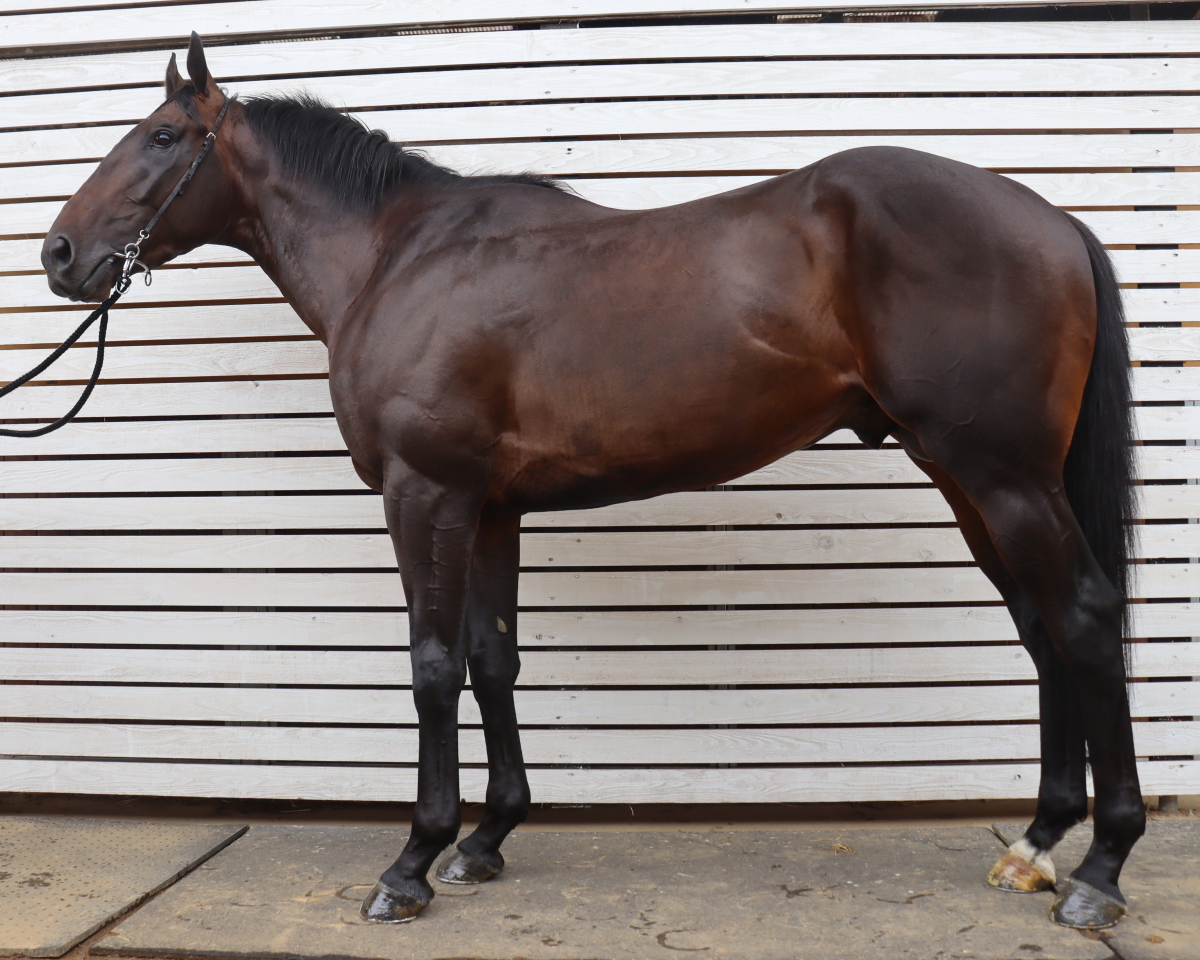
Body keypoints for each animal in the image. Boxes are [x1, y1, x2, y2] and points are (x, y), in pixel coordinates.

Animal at [41, 33, 1141, 931]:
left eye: (162, 135)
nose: (59, 253)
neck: (401, 260)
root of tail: (1048, 215)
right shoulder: (489, 509)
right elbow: (493, 661)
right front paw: (486, 841)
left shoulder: (425, 495)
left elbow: (433, 666)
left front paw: (412, 862)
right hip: (971, 479)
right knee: (1042, 628)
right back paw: (1038, 846)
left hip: (1002, 476)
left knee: (1084, 618)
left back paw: (1100, 870)